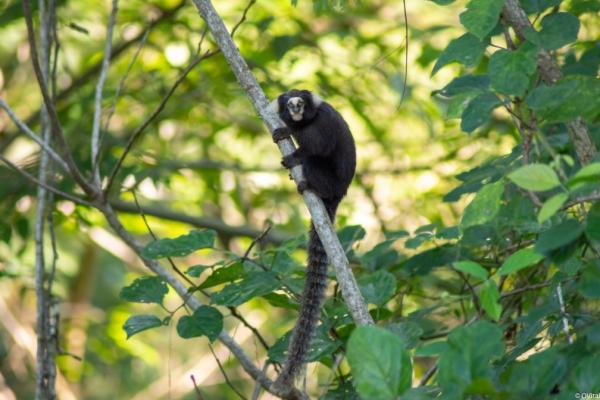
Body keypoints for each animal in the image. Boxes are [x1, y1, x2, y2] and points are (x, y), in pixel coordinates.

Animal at [268, 89, 356, 390]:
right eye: (290, 103)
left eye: (300, 103)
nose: (295, 110)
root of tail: (339, 193)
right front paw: (285, 128)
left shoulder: (322, 124)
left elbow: (319, 148)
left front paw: (292, 142)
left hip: (329, 181)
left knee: (313, 161)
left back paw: (310, 184)